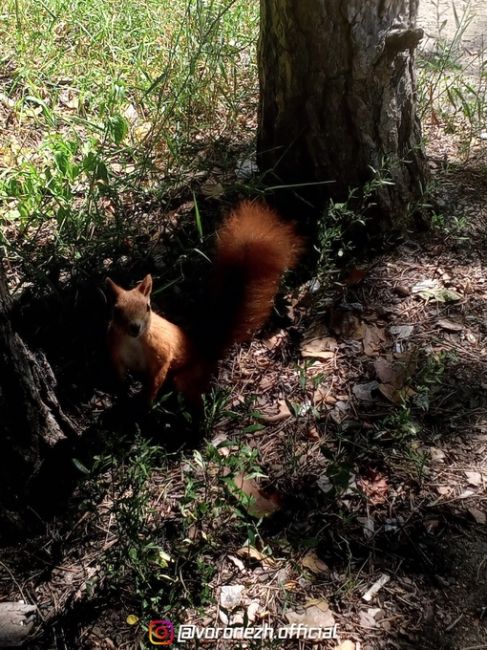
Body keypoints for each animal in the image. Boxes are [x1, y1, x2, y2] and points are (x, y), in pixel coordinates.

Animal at [106, 200, 304, 408]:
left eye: (147, 307)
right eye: (116, 311)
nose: (135, 327)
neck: (134, 341)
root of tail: (206, 350)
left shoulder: (162, 350)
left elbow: (158, 375)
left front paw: (146, 401)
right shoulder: (115, 351)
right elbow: (119, 375)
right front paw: (122, 394)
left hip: (188, 377)